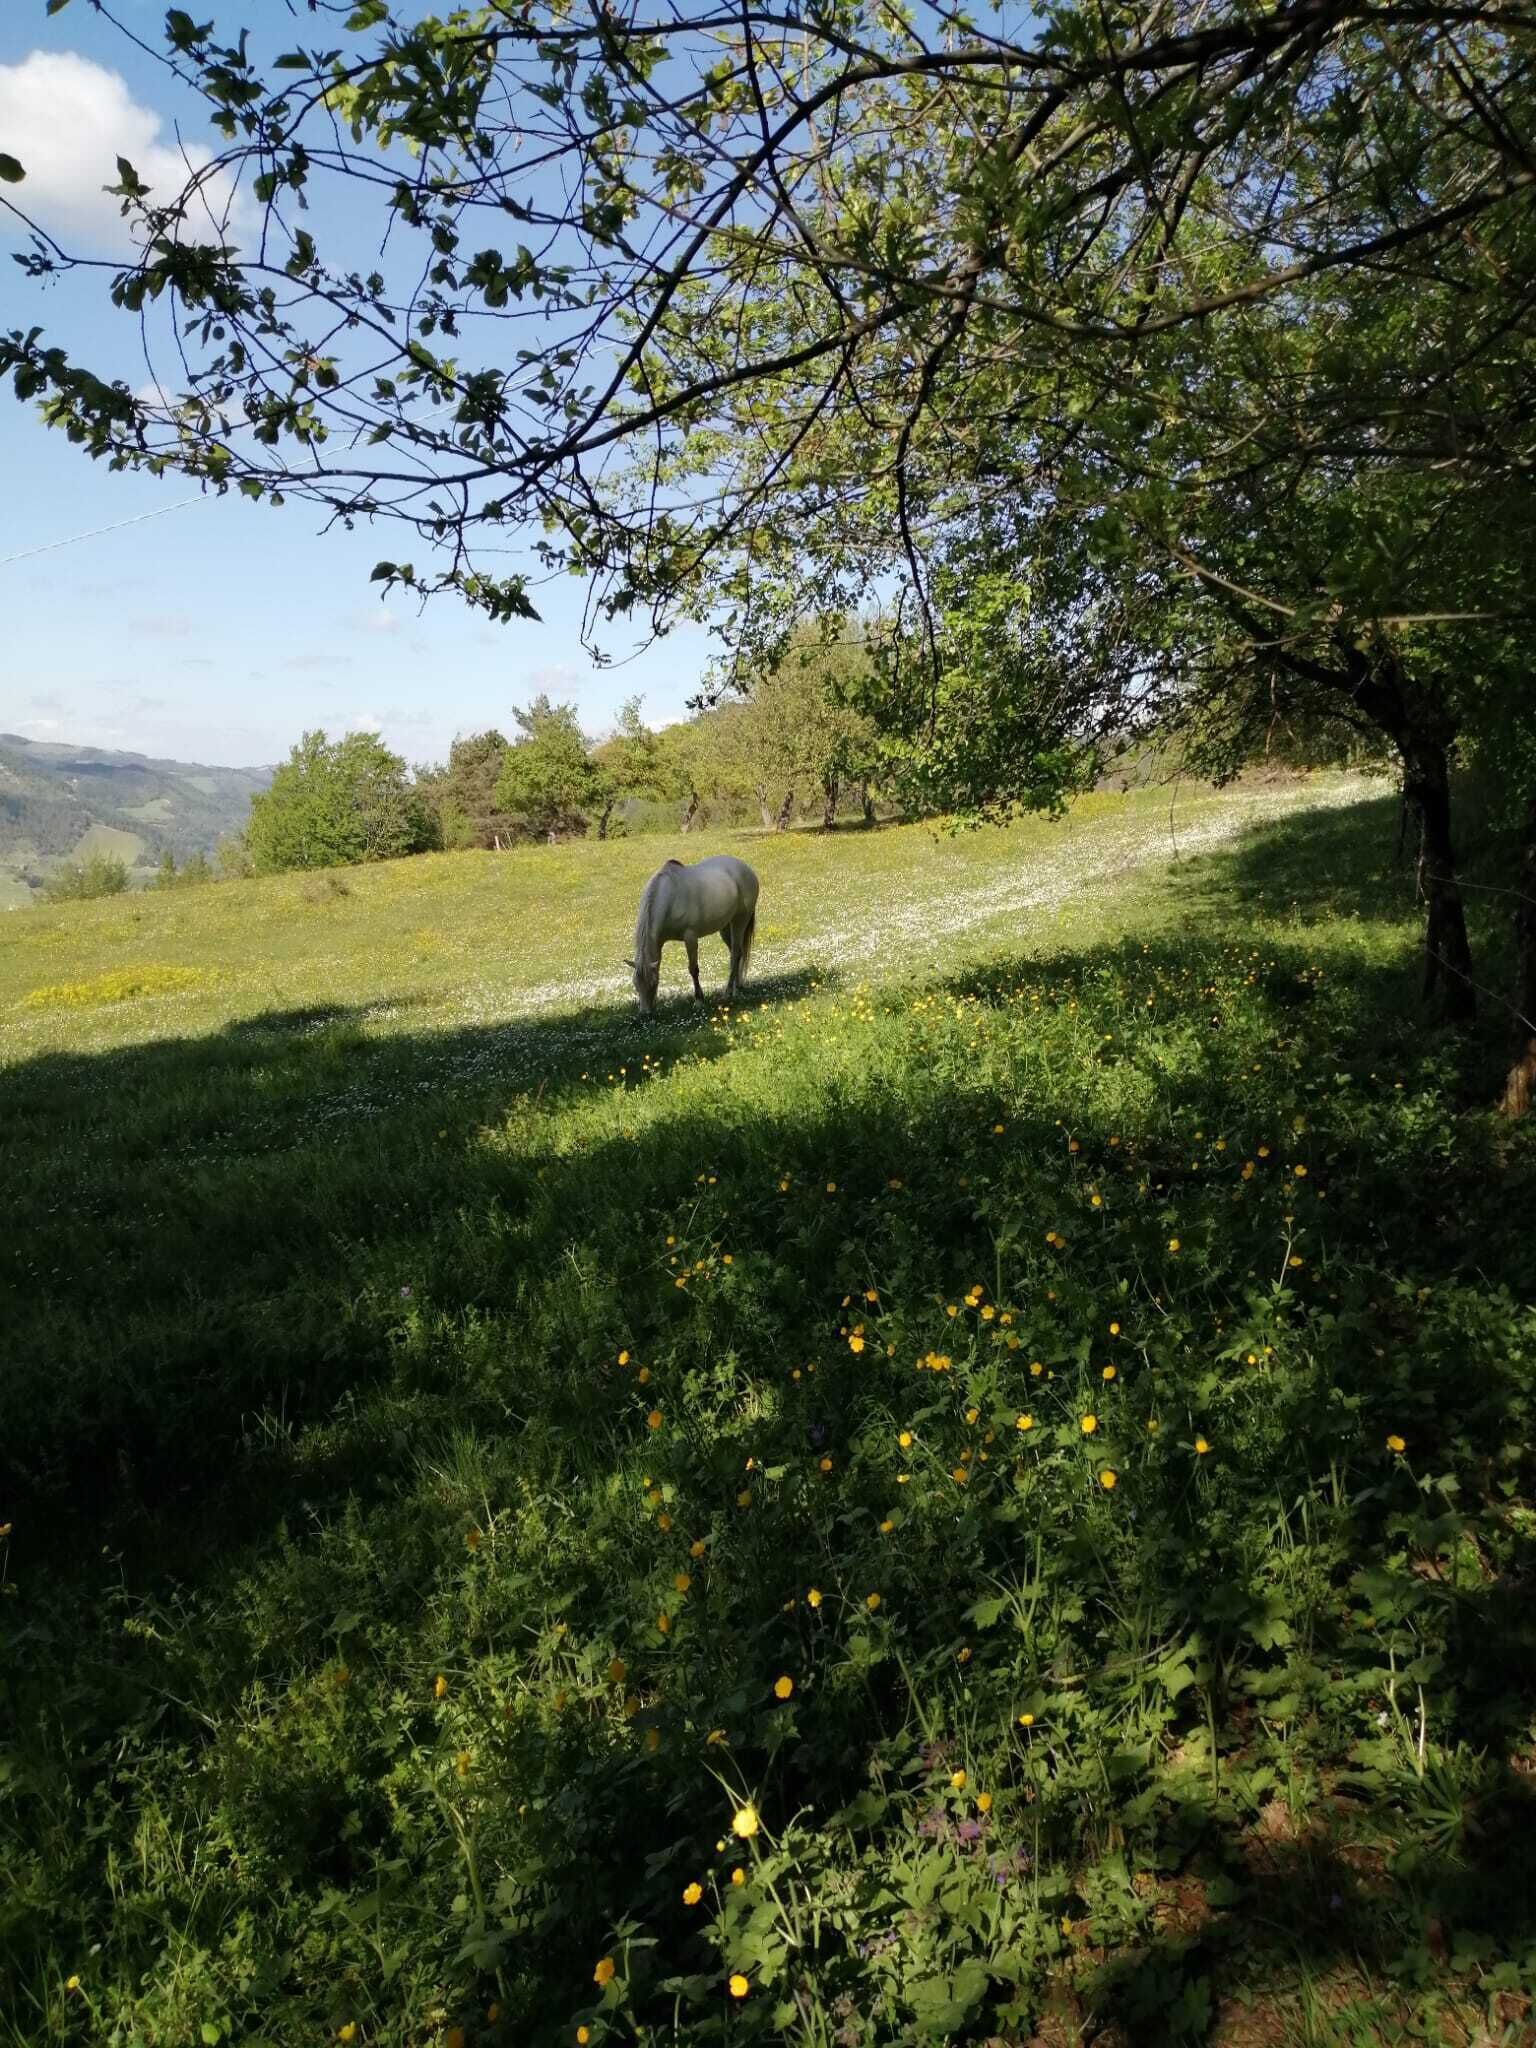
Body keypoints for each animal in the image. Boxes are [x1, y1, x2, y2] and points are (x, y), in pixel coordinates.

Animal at [628, 854, 759, 1015]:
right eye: (635, 984)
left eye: (653, 983)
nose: (645, 1013)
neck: (671, 897)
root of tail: (746, 869)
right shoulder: (659, 942)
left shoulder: (690, 937)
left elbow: (693, 969)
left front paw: (698, 1000)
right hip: (726, 927)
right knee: (737, 954)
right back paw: (737, 988)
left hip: (739, 921)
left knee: (735, 954)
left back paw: (728, 992)